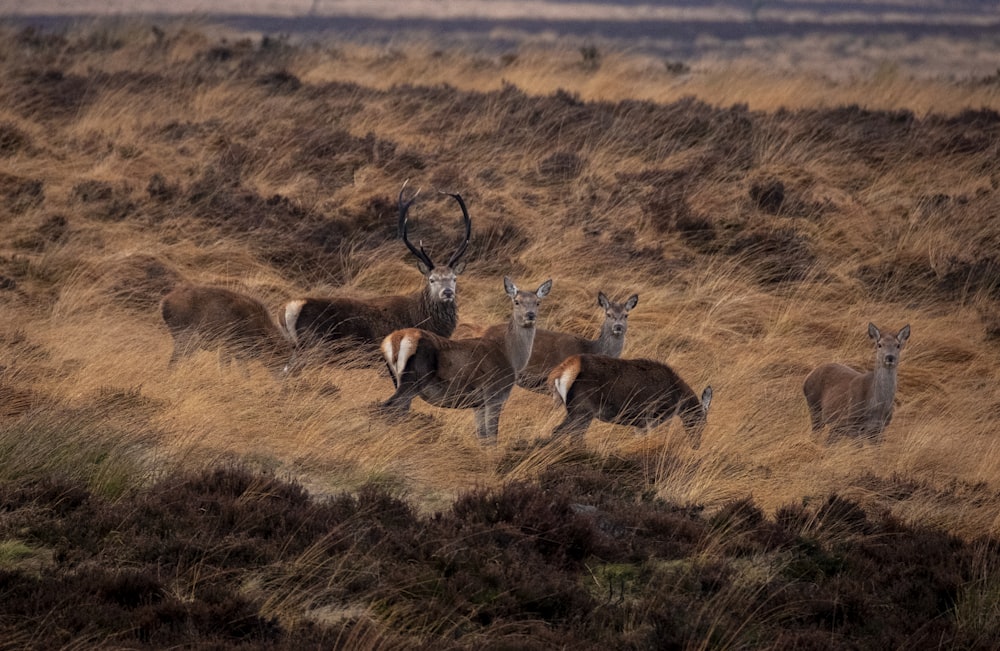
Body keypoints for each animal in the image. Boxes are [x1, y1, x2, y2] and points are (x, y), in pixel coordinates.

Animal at [159, 284, 292, 374]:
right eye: (280, 357)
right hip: (187, 340)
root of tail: (165, 302)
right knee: (173, 361)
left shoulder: (239, 356)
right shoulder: (226, 348)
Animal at [280, 183, 470, 366]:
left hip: (299, 349)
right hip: (315, 346)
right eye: (432, 280)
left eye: (454, 279)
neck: (425, 320)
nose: (447, 292)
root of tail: (287, 310)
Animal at [382, 276, 556, 448]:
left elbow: (482, 437)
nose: (530, 315)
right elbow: (492, 438)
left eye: (538, 302)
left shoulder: (478, 404)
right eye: (517, 301)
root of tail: (394, 340)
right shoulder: (495, 394)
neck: (511, 357)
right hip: (414, 379)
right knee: (386, 407)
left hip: (398, 379)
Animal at [548, 354, 712, 450]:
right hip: (582, 410)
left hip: (577, 411)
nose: (696, 445)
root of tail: (562, 371)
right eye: (701, 422)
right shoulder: (646, 420)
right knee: (566, 434)